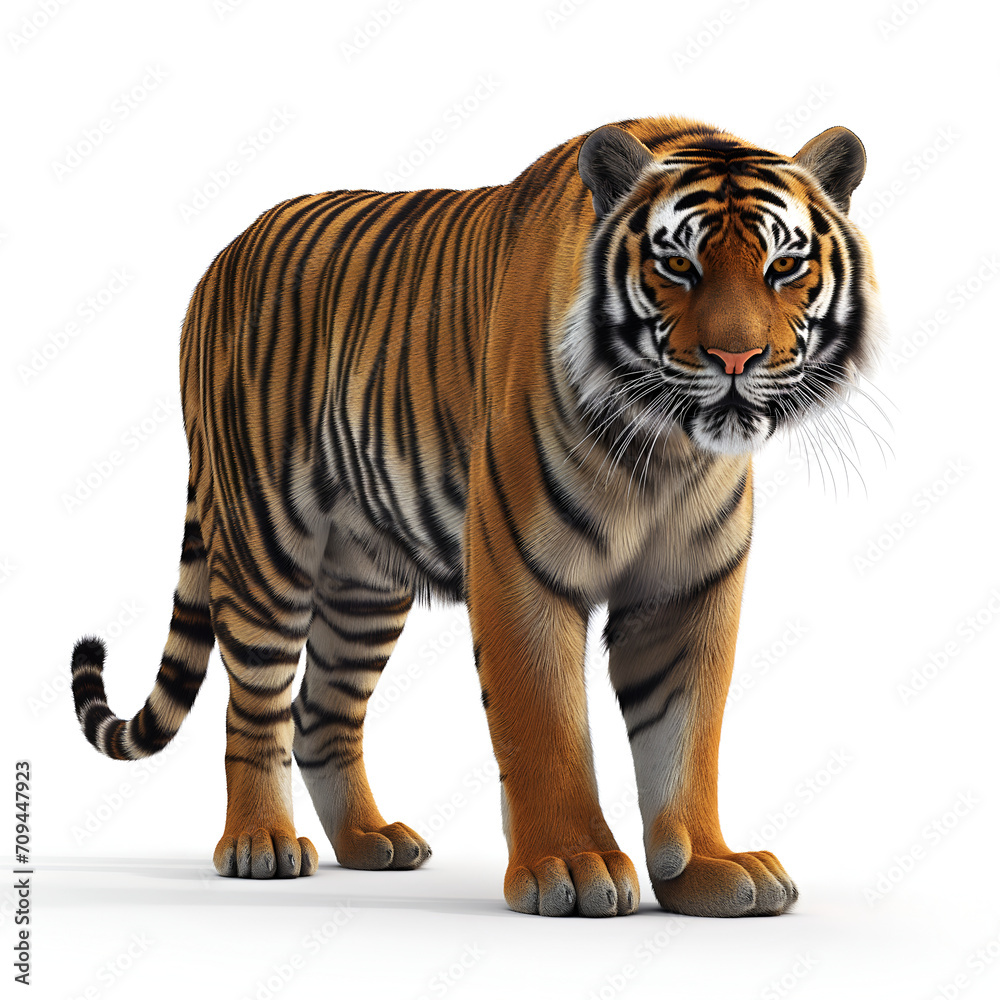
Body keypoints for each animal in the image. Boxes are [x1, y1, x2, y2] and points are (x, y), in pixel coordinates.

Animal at [71, 115, 883, 918]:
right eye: (677, 266)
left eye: (784, 267)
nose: (735, 358)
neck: (669, 453)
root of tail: (219, 259)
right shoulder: (520, 567)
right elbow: (545, 724)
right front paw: (574, 866)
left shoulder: (688, 590)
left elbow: (687, 736)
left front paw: (708, 868)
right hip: (264, 540)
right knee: (257, 704)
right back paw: (259, 844)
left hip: (363, 582)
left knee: (321, 712)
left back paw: (370, 841)